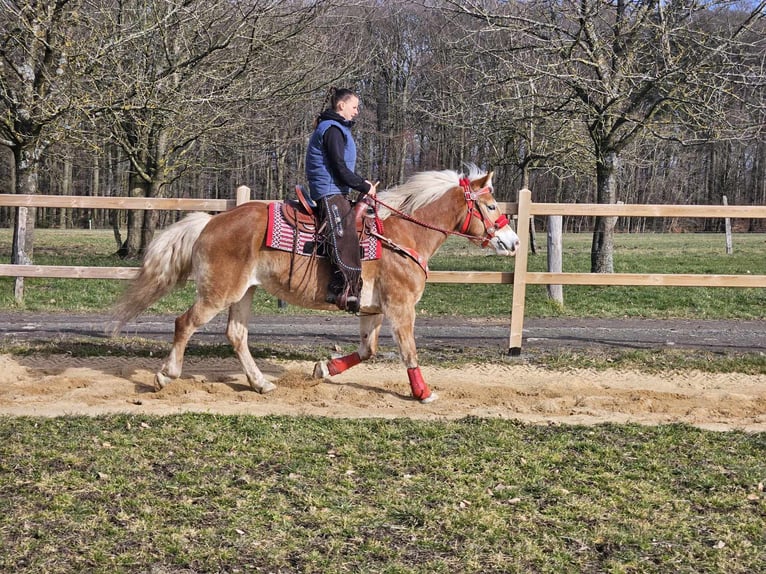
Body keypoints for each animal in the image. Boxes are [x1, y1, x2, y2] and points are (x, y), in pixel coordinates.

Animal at [109, 164, 520, 402]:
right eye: (491, 206)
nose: (513, 241)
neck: (402, 235)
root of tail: (211, 222)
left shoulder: (372, 310)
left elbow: (368, 351)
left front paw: (324, 369)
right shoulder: (401, 307)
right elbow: (409, 351)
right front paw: (422, 393)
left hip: (244, 292)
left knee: (236, 335)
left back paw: (260, 383)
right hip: (218, 292)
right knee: (185, 323)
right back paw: (166, 376)